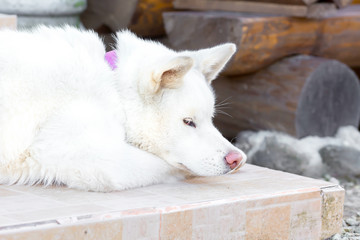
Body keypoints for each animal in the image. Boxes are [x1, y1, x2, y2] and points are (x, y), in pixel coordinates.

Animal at [0, 26, 245, 191]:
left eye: (210, 119)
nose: (235, 159)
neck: (115, 89)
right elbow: (166, 165)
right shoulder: (87, 156)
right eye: (188, 122)